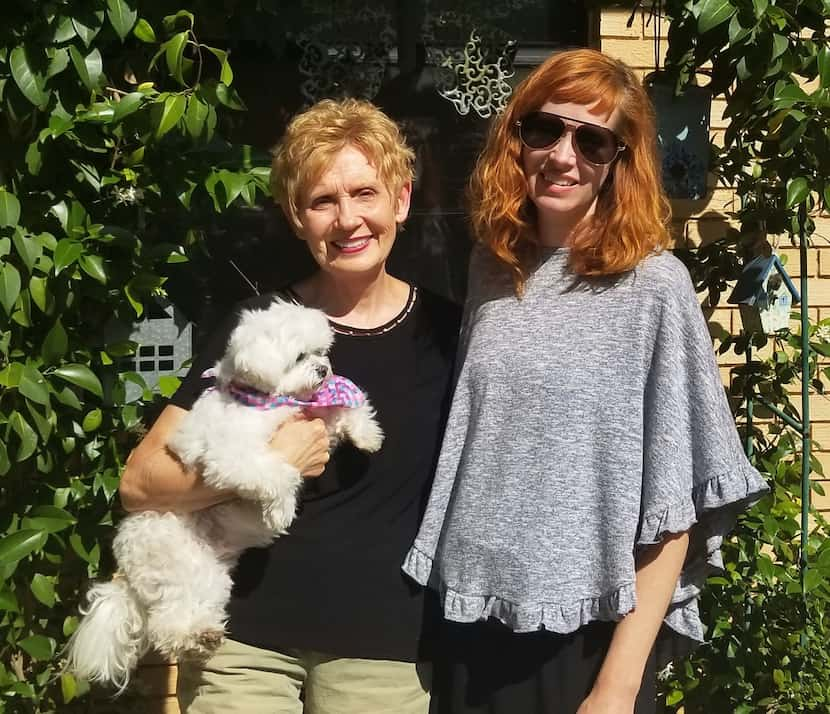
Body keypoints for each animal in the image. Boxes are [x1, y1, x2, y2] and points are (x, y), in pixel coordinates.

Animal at [65, 298, 384, 688]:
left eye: (321, 352)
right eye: (299, 357)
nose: (323, 369)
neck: (265, 399)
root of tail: (126, 572)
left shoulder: (316, 419)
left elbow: (343, 412)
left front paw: (367, 433)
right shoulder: (231, 456)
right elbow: (277, 472)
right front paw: (280, 509)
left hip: (210, 577)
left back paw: (204, 633)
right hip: (178, 561)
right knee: (165, 625)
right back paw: (194, 637)